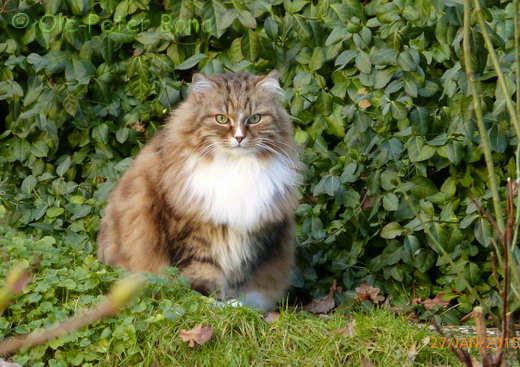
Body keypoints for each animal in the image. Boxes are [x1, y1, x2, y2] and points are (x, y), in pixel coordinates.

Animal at [96, 69, 300, 310]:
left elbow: (238, 278)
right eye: (221, 119)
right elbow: (202, 273)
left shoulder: (253, 235)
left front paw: (234, 304)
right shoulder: (192, 231)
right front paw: (213, 304)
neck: (236, 167)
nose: (239, 137)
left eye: (255, 118)